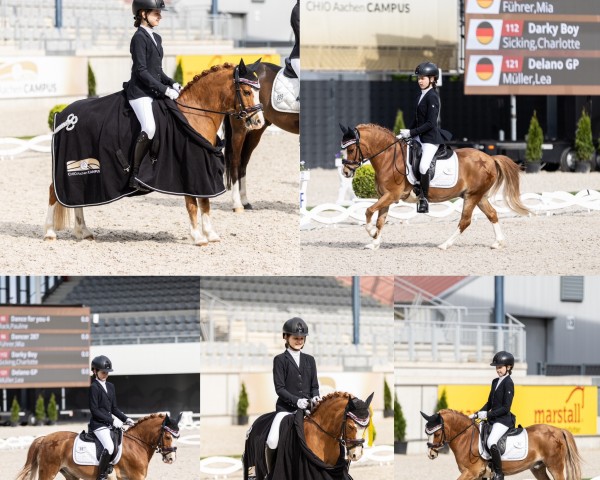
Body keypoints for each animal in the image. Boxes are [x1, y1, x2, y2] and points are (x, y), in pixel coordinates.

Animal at [15, 412, 180, 480]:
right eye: (168, 436)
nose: (171, 458)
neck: (137, 444)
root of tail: (44, 439)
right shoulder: (136, 477)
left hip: (70, 474)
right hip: (48, 472)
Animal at [43, 60, 264, 246]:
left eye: (258, 91)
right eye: (246, 91)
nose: (259, 121)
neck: (193, 115)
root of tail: (64, 115)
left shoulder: (203, 170)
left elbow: (205, 203)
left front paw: (211, 234)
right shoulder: (188, 169)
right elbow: (192, 204)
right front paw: (198, 237)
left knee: (75, 197)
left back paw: (83, 231)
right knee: (54, 192)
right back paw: (50, 233)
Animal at [223, 61, 300, 211]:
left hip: (256, 129)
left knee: (243, 162)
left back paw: (245, 201)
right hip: (240, 130)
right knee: (235, 160)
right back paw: (237, 203)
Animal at [338, 124, 528, 251]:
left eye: (352, 149)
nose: (346, 172)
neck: (389, 159)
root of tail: (490, 158)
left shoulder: (392, 195)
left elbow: (369, 211)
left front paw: (371, 233)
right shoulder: (385, 197)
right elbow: (380, 220)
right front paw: (375, 242)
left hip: (472, 196)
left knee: (465, 221)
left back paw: (444, 244)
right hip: (478, 196)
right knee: (492, 214)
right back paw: (498, 243)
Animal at [422, 408, 580, 480]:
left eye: (437, 434)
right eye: (427, 433)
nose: (431, 454)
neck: (466, 438)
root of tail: (558, 430)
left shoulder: (471, 472)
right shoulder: (478, 475)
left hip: (555, 467)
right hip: (538, 468)